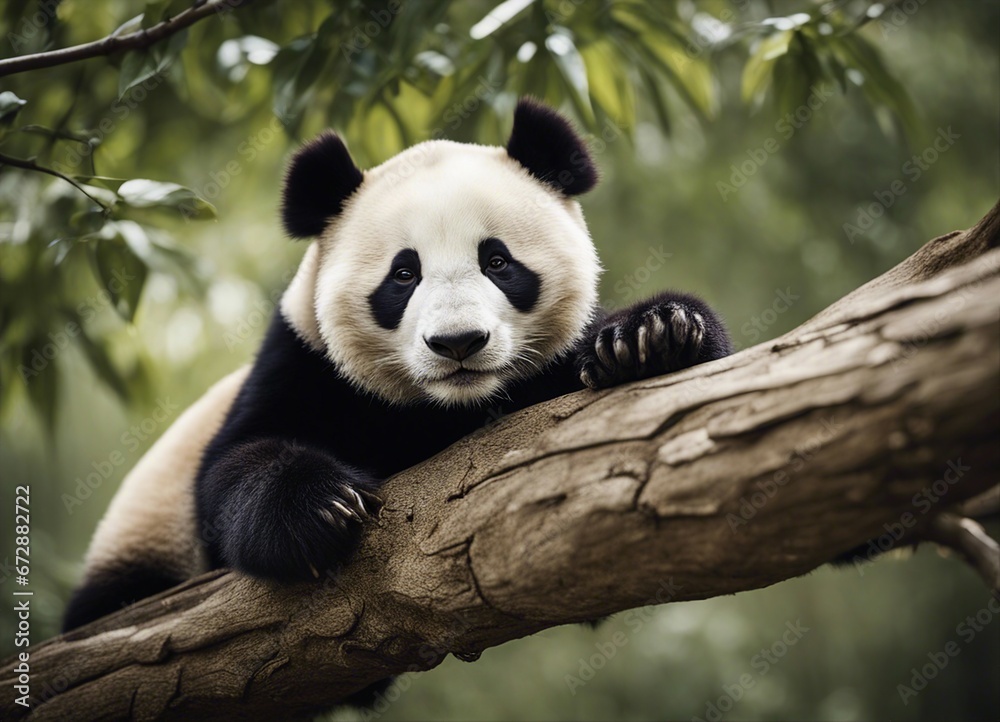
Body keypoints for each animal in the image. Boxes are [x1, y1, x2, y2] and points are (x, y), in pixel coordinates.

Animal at [62, 98, 732, 633]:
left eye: (497, 262)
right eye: (403, 275)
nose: (458, 343)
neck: (443, 411)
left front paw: (652, 336)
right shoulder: (304, 362)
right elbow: (231, 466)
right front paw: (320, 507)